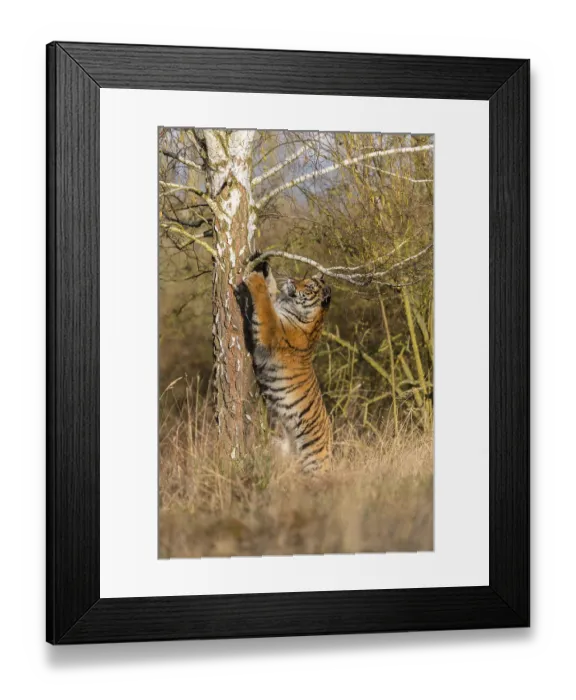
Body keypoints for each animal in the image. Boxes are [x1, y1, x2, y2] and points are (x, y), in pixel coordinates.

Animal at [236, 252, 333, 472]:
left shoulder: (272, 330)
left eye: (309, 286)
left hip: (315, 461)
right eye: (303, 278)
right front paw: (262, 264)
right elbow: (271, 291)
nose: (291, 280)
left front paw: (255, 279)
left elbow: (265, 305)